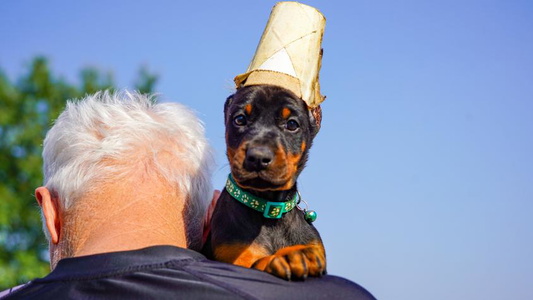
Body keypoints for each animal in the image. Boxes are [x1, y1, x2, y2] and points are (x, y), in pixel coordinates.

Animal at [203, 83, 324, 280]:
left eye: (292, 124)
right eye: (240, 119)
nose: (258, 157)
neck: (269, 211)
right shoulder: (234, 253)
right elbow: (256, 264)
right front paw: (289, 255)